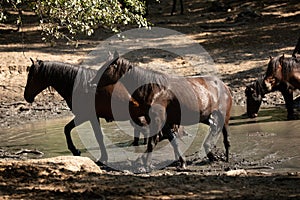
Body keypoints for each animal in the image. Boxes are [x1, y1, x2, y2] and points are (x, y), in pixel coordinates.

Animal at [92, 53, 233, 169]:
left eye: (106, 68)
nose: (92, 83)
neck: (154, 90)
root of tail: (224, 86)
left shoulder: (157, 120)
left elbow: (151, 143)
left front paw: (146, 165)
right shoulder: (163, 123)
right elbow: (173, 141)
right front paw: (182, 162)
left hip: (223, 116)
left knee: (225, 137)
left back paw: (224, 158)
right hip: (207, 117)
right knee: (216, 130)